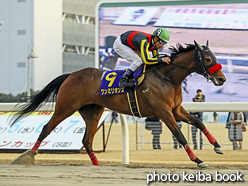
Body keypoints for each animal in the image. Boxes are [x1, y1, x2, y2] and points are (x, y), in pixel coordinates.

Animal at [10, 40, 226, 167]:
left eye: (215, 57)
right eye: (208, 58)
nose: (222, 79)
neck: (167, 77)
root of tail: (71, 74)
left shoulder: (176, 109)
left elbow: (199, 122)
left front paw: (217, 146)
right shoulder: (163, 111)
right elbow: (180, 136)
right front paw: (198, 160)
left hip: (92, 112)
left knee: (86, 140)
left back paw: (97, 165)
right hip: (65, 107)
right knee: (46, 128)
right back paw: (27, 156)